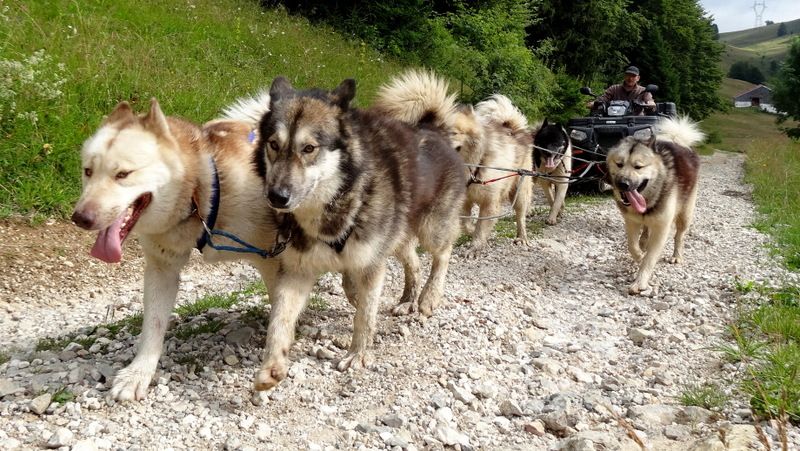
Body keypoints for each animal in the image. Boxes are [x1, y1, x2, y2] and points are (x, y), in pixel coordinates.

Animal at [72, 92, 278, 402]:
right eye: (88, 171)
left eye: (123, 174)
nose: (80, 218)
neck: (201, 193)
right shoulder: (162, 270)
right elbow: (153, 327)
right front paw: (139, 373)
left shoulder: (275, 258)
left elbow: (283, 309)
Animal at [248, 76, 462, 390]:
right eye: (274, 144)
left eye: (309, 148)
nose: (277, 197)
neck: (336, 201)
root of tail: (432, 128)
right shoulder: (297, 270)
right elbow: (280, 319)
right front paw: (271, 366)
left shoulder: (371, 263)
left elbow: (364, 316)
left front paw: (358, 355)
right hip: (396, 236)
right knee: (413, 261)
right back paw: (407, 299)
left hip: (431, 228)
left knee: (443, 254)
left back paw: (428, 297)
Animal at [608, 115, 704, 294]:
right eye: (619, 164)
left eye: (638, 166)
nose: (622, 184)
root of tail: (678, 142)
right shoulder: (631, 222)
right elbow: (632, 245)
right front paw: (639, 254)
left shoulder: (661, 228)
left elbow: (650, 258)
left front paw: (640, 281)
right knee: (646, 231)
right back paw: (643, 242)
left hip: (685, 214)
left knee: (679, 236)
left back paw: (676, 255)